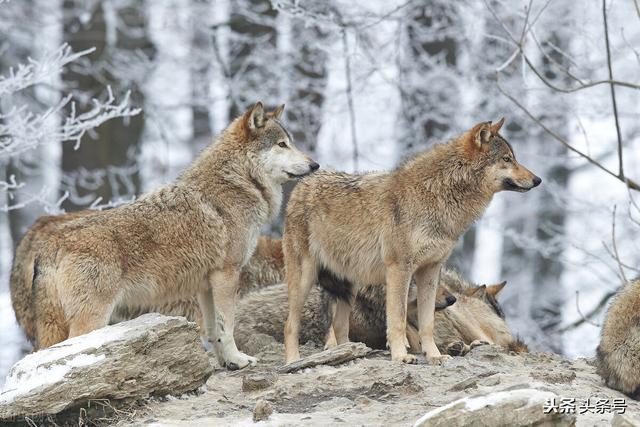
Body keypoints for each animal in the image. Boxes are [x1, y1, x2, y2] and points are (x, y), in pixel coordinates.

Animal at [284, 118, 540, 364]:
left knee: (339, 327)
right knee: (290, 324)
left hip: (349, 286)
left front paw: (434, 356)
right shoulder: (399, 269)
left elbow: (427, 324)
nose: (537, 180)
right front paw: (401, 356)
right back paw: (293, 361)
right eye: (507, 159)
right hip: (305, 279)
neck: (436, 195)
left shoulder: (431, 270)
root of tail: (301, 186)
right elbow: (398, 319)